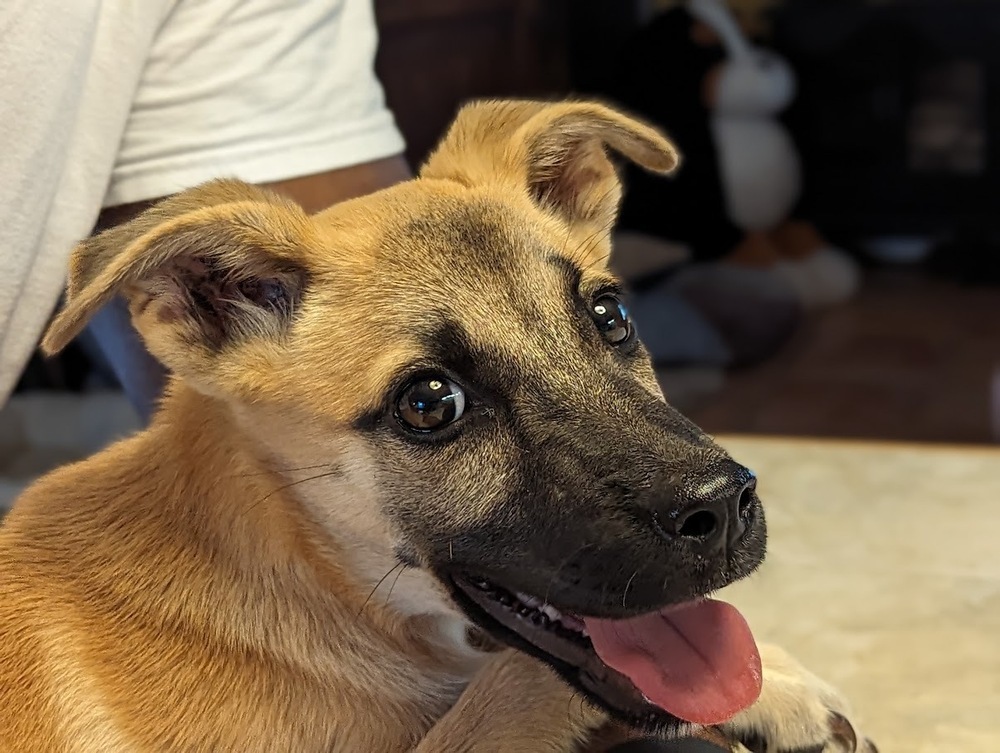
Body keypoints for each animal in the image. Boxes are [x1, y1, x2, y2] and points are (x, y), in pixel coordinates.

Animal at [0, 100, 872, 752]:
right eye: (429, 403)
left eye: (610, 315)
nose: (725, 507)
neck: (304, 569)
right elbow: (508, 686)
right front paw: (774, 689)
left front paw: (774, 679)